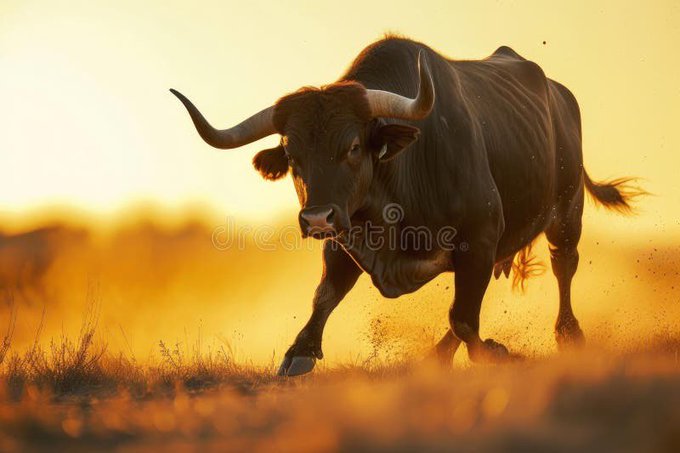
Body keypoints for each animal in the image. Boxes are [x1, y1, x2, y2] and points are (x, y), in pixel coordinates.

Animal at [171, 36, 642, 376]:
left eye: (353, 146)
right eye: (291, 153)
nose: (316, 217)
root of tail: (559, 96)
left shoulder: (479, 235)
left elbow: (463, 316)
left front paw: (495, 351)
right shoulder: (344, 235)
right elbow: (326, 294)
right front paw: (299, 350)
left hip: (566, 210)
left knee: (564, 265)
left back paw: (569, 334)